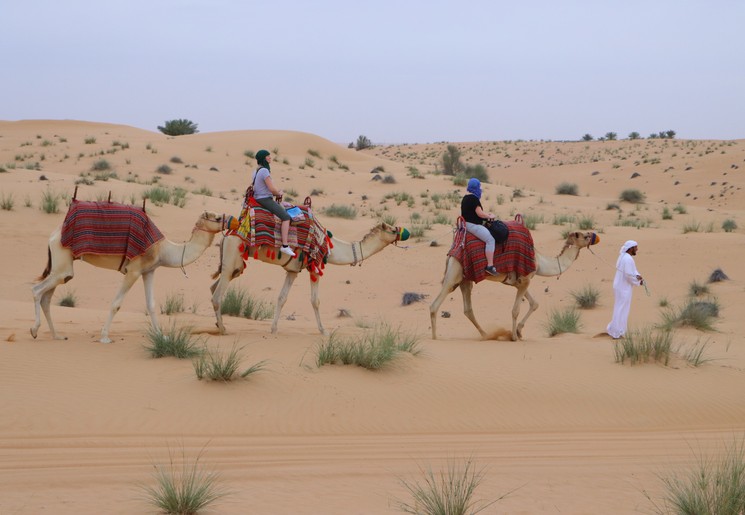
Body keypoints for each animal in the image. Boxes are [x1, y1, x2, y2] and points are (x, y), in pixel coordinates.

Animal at [31, 208, 224, 344]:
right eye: (217, 218)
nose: (229, 220)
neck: (163, 249)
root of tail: (53, 235)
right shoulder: (133, 270)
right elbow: (116, 303)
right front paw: (105, 337)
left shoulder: (149, 271)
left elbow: (151, 304)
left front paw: (161, 335)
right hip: (62, 262)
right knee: (37, 290)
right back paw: (34, 330)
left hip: (61, 268)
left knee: (47, 297)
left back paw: (56, 335)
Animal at [209, 222, 410, 334]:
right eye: (392, 230)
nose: (406, 232)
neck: (331, 246)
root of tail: (226, 236)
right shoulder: (315, 266)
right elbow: (315, 300)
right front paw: (324, 331)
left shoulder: (292, 270)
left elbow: (282, 298)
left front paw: (273, 329)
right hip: (233, 258)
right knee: (217, 295)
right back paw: (223, 329)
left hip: (233, 265)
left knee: (213, 287)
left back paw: (217, 324)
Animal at [430, 228, 600, 340]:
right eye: (585, 235)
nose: (595, 236)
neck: (539, 261)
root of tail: (451, 254)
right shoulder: (525, 280)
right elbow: (515, 310)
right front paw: (514, 336)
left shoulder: (520, 282)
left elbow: (534, 304)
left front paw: (519, 331)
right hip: (454, 274)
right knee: (435, 304)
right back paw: (435, 337)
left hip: (465, 280)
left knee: (468, 309)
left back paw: (486, 335)